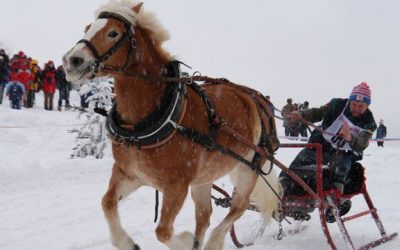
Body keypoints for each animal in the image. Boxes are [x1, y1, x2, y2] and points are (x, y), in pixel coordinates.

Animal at [63, 0, 282, 249]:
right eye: (87, 28)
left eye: (113, 33)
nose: (71, 61)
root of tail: (257, 98)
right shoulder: (130, 174)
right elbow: (107, 202)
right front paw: (127, 242)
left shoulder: (177, 186)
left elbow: (163, 231)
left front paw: (185, 241)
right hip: (204, 178)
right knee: (204, 215)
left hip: (249, 169)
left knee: (238, 208)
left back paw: (213, 241)